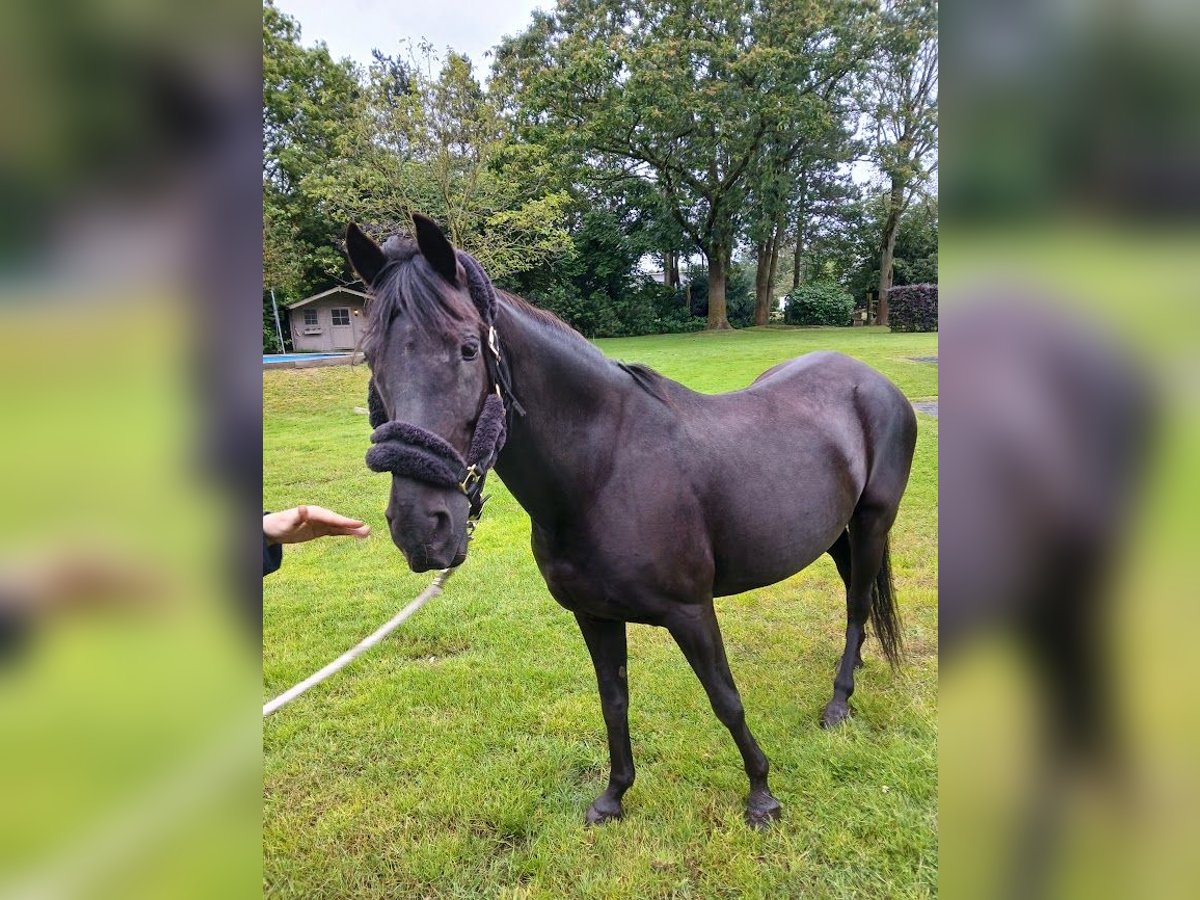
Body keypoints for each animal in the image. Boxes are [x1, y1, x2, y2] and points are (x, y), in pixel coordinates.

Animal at [348, 214, 916, 830]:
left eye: (469, 349)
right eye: (371, 359)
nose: (420, 527)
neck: (603, 471)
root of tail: (873, 381)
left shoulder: (691, 611)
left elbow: (725, 698)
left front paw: (761, 795)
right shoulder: (594, 615)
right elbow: (613, 701)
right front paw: (614, 796)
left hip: (872, 524)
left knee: (858, 605)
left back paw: (838, 702)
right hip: (834, 536)